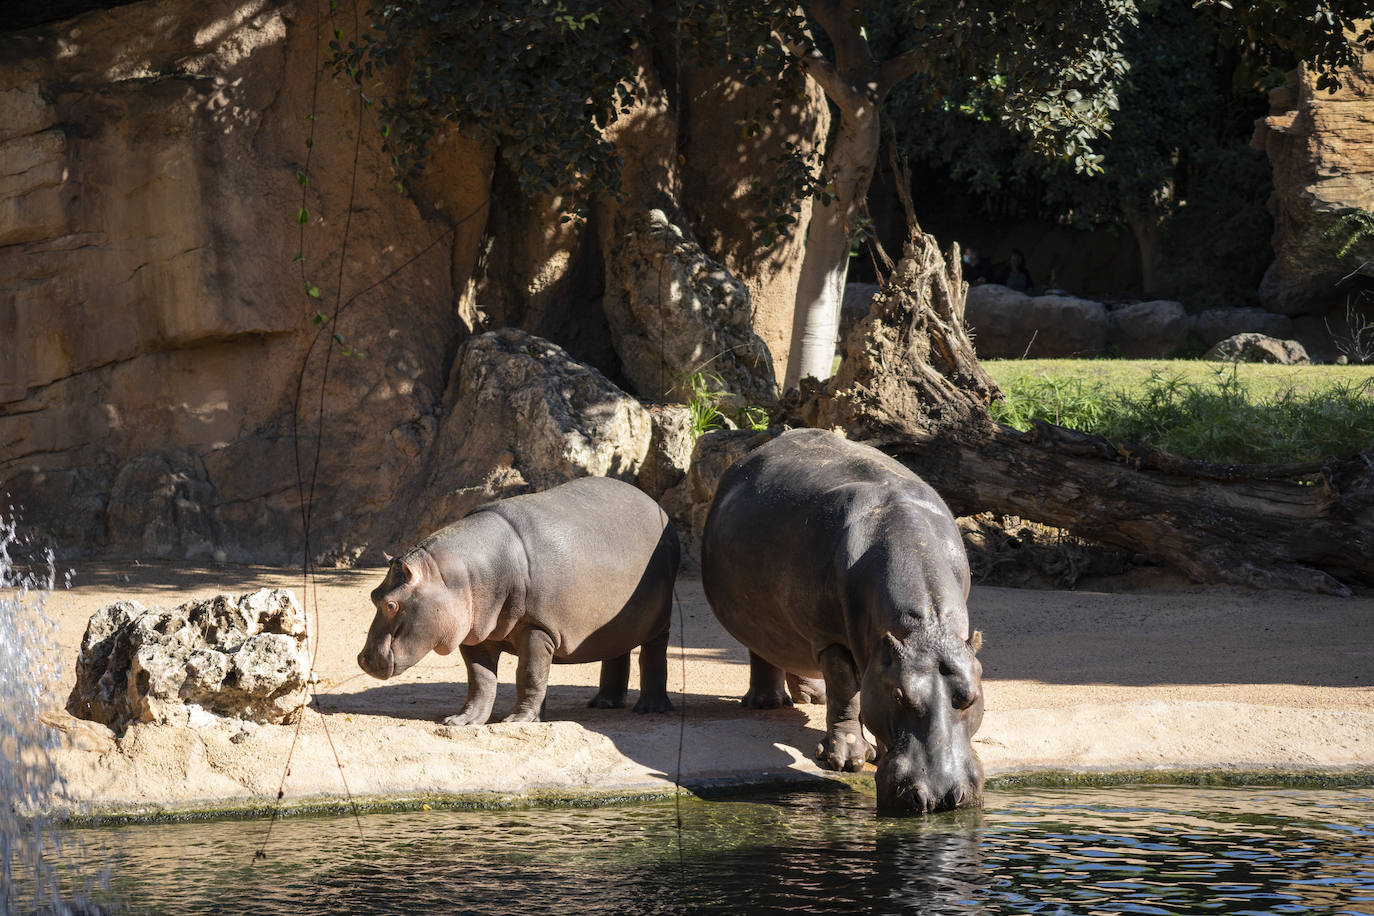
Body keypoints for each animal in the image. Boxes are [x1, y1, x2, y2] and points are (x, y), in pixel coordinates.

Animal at [354, 477, 676, 725]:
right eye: (373, 594)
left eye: (391, 604)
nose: (363, 658)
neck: (454, 577)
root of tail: (655, 504)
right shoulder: (476, 635)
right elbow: (480, 680)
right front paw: (462, 721)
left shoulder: (538, 627)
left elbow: (530, 673)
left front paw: (518, 721)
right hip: (613, 623)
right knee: (616, 651)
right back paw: (604, 703)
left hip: (660, 619)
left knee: (653, 656)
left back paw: (650, 708)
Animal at [703, 425, 983, 813]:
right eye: (899, 696)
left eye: (971, 697)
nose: (940, 796)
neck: (924, 630)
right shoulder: (831, 638)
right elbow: (846, 689)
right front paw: (848, 760)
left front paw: (874, 753)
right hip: (765, 619)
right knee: (765, 649)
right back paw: (767, 703)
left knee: (795, 654)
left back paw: (811, 697)